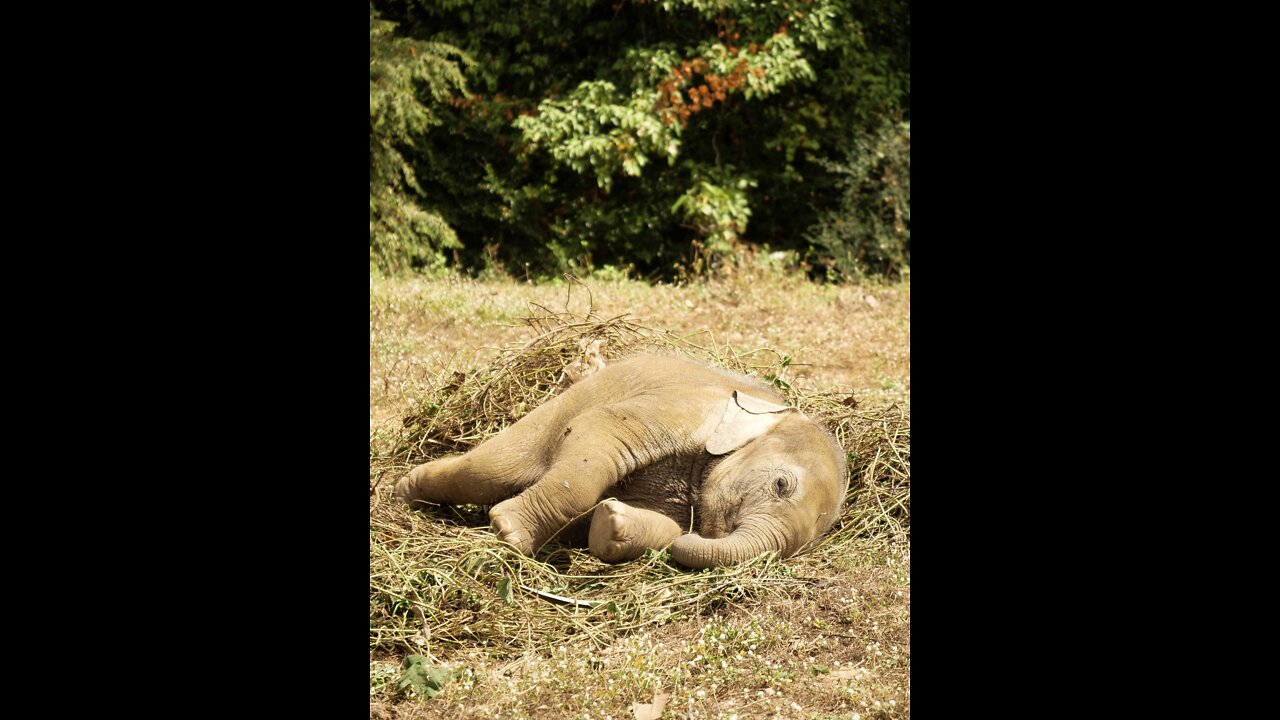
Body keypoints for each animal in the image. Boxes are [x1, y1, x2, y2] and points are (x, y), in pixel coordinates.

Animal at [394, 353, 844, 566]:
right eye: (781, 485)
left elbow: (667, 527)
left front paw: (610, 524)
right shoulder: (682, 406)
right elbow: (599, 430)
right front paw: (509, 531)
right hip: (556, 411)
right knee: (490, 470)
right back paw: (405, 492)